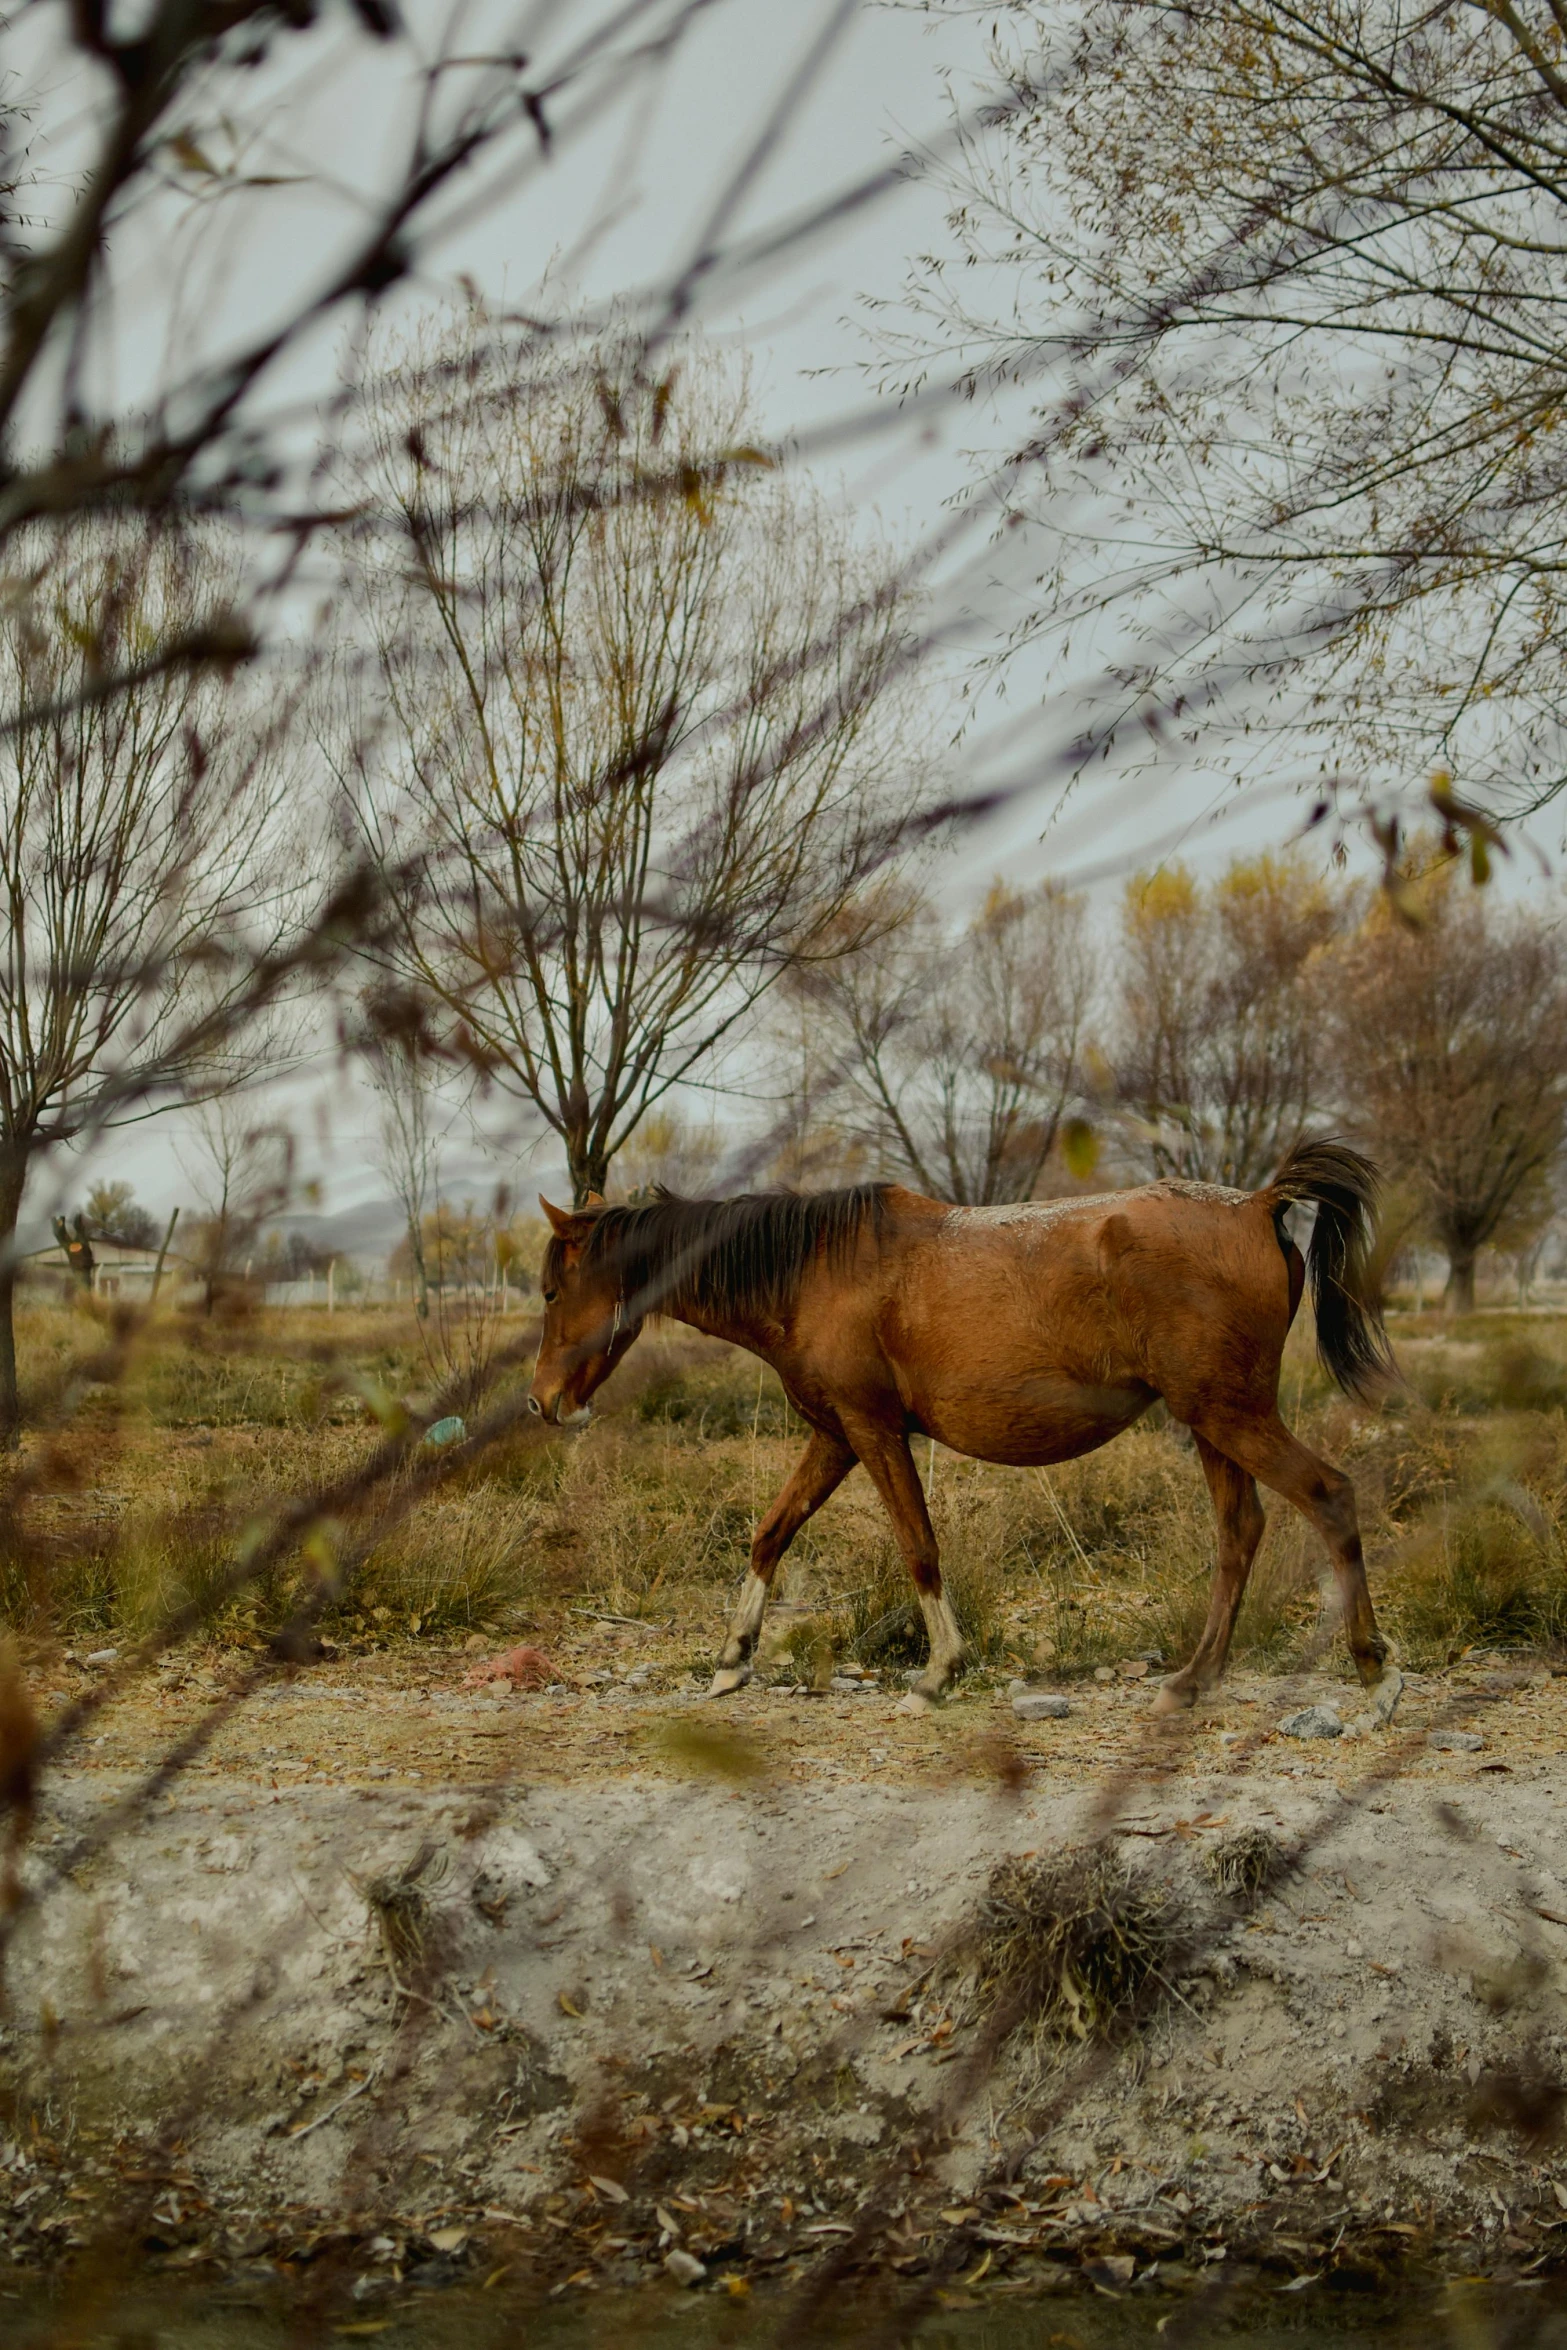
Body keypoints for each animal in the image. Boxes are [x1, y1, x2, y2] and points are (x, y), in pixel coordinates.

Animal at [533, 1142, 1400, 1720]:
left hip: (1228, 1416)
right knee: (1239, 1530)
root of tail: (1256, 1204)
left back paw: (1369, 1666)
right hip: (1212, 1424)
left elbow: (918, 1546)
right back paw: (1195, 1678)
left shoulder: (874, 1434)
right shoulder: (834, 1437)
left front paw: (937, 1672)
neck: (815, 1270)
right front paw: (731, 1658)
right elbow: (769, 1534)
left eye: (548, 1290)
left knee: (1326, 1496)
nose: (543, 1404)